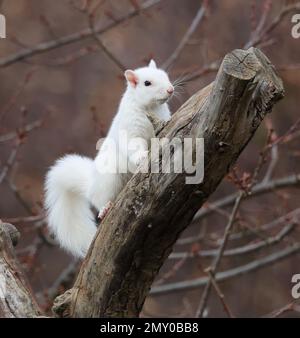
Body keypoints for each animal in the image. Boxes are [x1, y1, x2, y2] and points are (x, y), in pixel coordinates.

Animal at [43, 59, 172, 258]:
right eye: (147, 83)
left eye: (165, 75)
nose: (170, 90)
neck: (151, 109)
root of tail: (90, 186)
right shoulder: (130, 129)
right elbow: (133, 145)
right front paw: (142, 156)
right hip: (108, 180)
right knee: (100, 198)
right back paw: (104, 208)